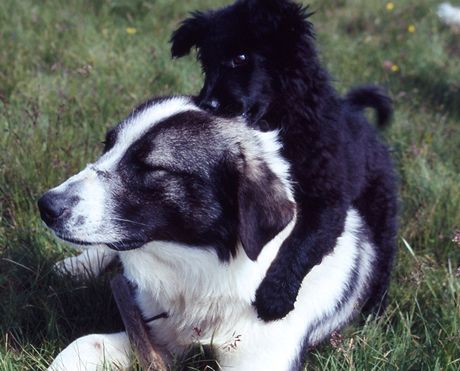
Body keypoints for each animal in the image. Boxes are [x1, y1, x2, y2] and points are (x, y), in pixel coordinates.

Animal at [171, 0, 398, 322]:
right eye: (206, 64)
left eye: (241, 58)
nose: (207, 104)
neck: (285, 122)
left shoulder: (327, 201)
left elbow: (301, 245)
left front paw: (275, 298)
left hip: (381, 207)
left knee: (385, 257)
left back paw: (375, 309)